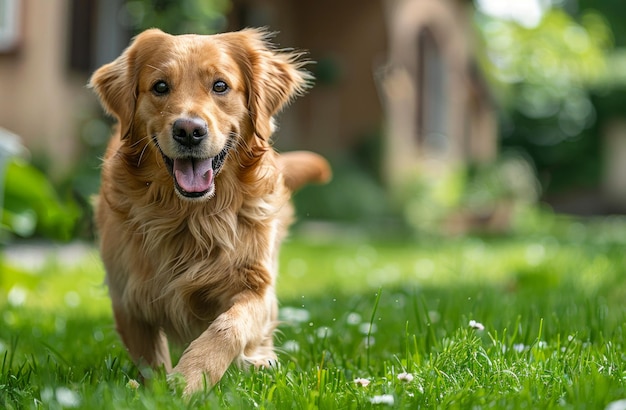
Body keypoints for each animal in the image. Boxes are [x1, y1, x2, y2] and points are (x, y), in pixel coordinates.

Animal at [91, 28, 332, 394]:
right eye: (160, 86)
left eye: (220, 85)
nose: (189, 131)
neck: (193, 217)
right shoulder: (127, 297)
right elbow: (150, 360)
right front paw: (156, 392)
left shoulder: (254, 282)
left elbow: (229, 327)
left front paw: (191, 378)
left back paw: (260, 363)